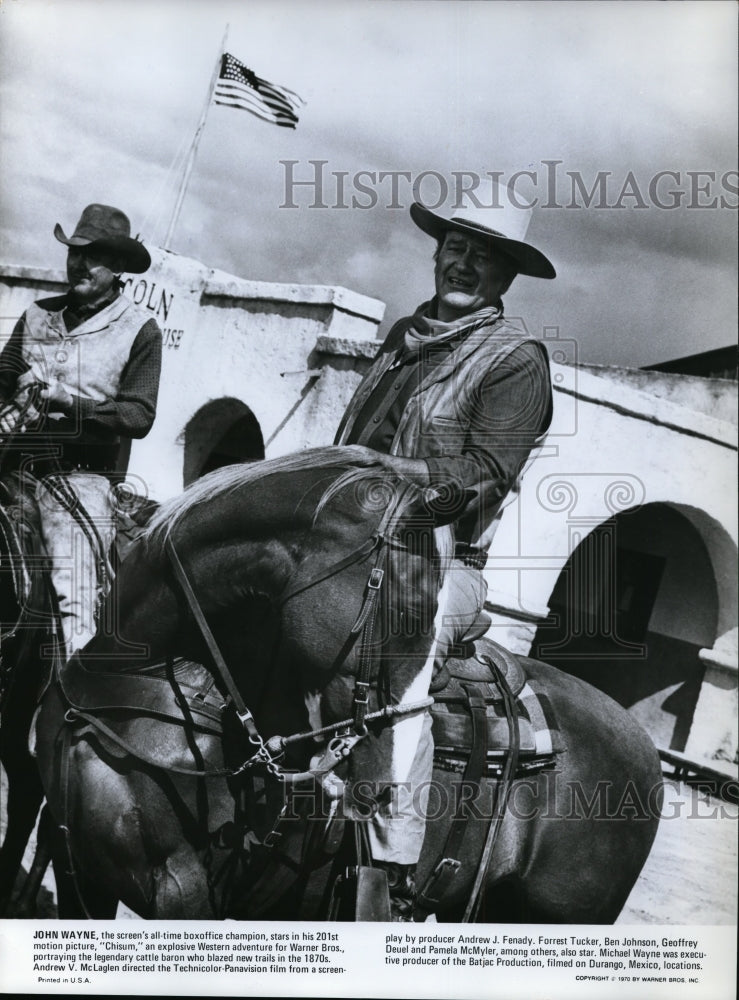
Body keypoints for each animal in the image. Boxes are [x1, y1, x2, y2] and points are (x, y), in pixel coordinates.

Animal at [30, 450, 664, 924]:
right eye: (411, 612)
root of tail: (644, 748)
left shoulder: (182, 890)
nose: (390, 776)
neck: (127, 679)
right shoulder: (74, 863)